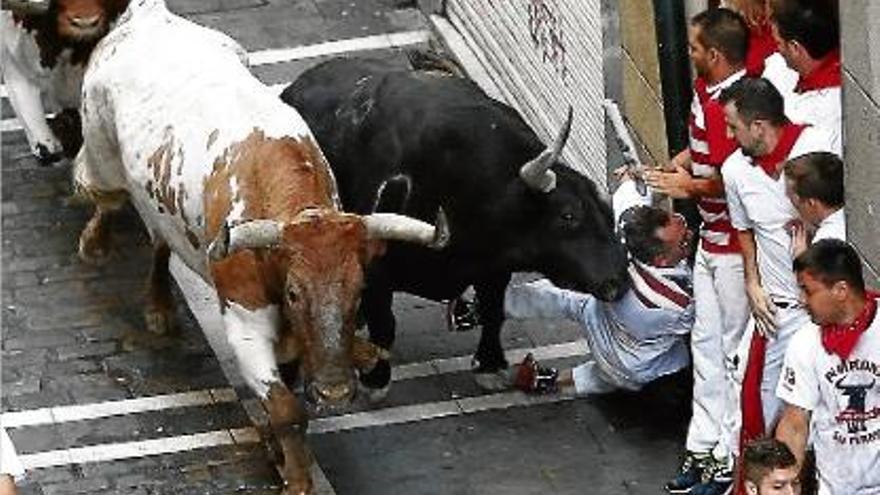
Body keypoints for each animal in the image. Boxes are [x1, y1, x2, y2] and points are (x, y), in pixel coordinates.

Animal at [64, 0, 446, 492]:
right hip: (102, 150)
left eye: (359, 291)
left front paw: (277, 451)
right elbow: (287, 409)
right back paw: (103, 249)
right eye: (295, 292)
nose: (336, 391)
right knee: (108, 198)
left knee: (161, 239)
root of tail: (150, 17)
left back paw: (160, 305)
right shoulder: (245, 323)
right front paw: (296, 476)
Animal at [278, 57, 628, 392]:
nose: (619, 283)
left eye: (608, 214)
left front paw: (490, 365)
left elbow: (494, 310)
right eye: (568, 215)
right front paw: (376, 379)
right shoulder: (378, 268)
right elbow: (385, 324)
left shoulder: (494, 267)